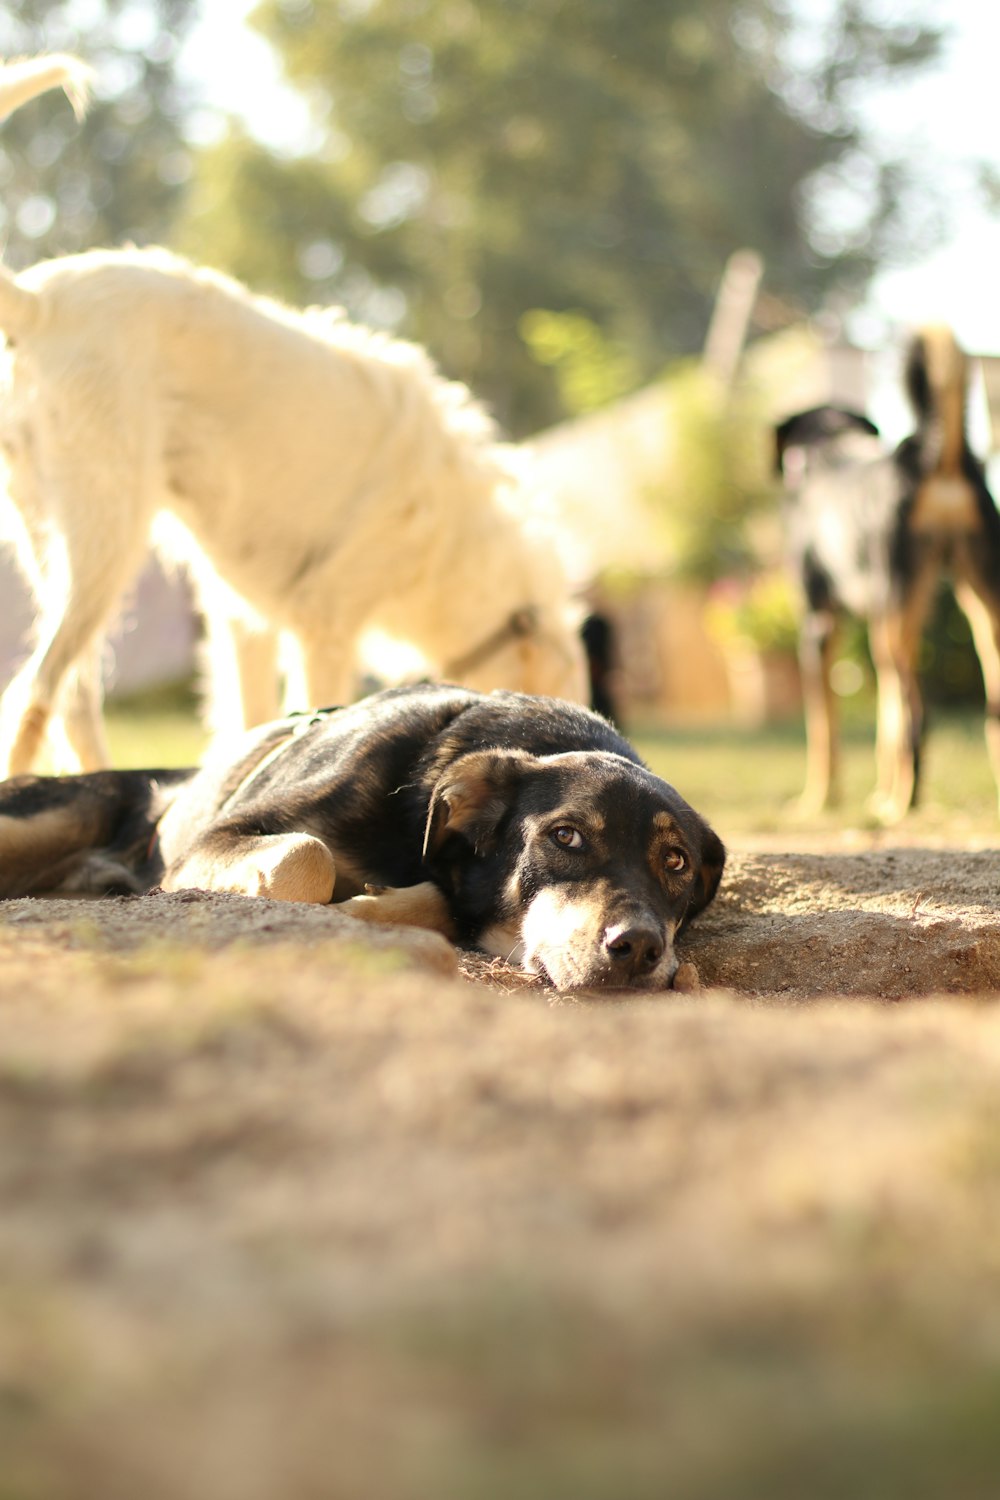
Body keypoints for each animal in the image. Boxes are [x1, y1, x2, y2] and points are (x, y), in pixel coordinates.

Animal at [0, 687, 722, 990]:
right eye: (566, 836)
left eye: (676, 862)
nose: (639, 948)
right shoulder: (215, 840)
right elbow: (306, 855)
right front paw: (343, 906)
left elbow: (434, 899)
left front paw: (372, 906)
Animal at [779, 328, 1000, 822]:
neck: (830, 449)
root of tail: (930, 456)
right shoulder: (875, 618)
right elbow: (884, 725)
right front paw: (877, 791)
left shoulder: (819, 625)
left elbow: (824, 732)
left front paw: (817, 800)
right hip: (976, 610)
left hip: (897, 627)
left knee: (917, 720)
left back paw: (903, 805)